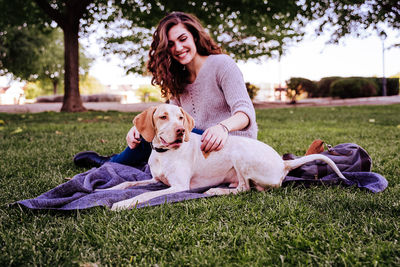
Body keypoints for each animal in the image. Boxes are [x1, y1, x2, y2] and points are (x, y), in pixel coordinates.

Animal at [103, 104, 346, 211]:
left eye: (180, 118)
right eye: (163, 117)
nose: (181, 130)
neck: (165, 154)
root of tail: (283, 162)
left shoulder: (179, 186)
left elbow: (144, 195)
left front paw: (123, 203)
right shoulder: (155, 179)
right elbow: (128, 183)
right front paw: (109, 189)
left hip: (240, 153)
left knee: (244, 189)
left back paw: (216, 190)